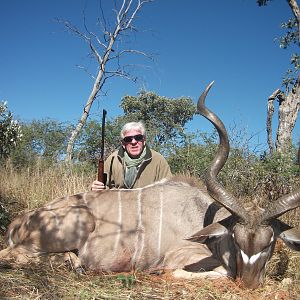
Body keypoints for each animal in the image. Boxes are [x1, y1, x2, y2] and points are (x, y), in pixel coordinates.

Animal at [0, 82, 300, 288]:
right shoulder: (183, 256)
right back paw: (73, 263)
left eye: (270, 243)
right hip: (75, 223)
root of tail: (17, 223)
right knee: (13, 255)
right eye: (236, 240)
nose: (248, 283)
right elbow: (214, 272)